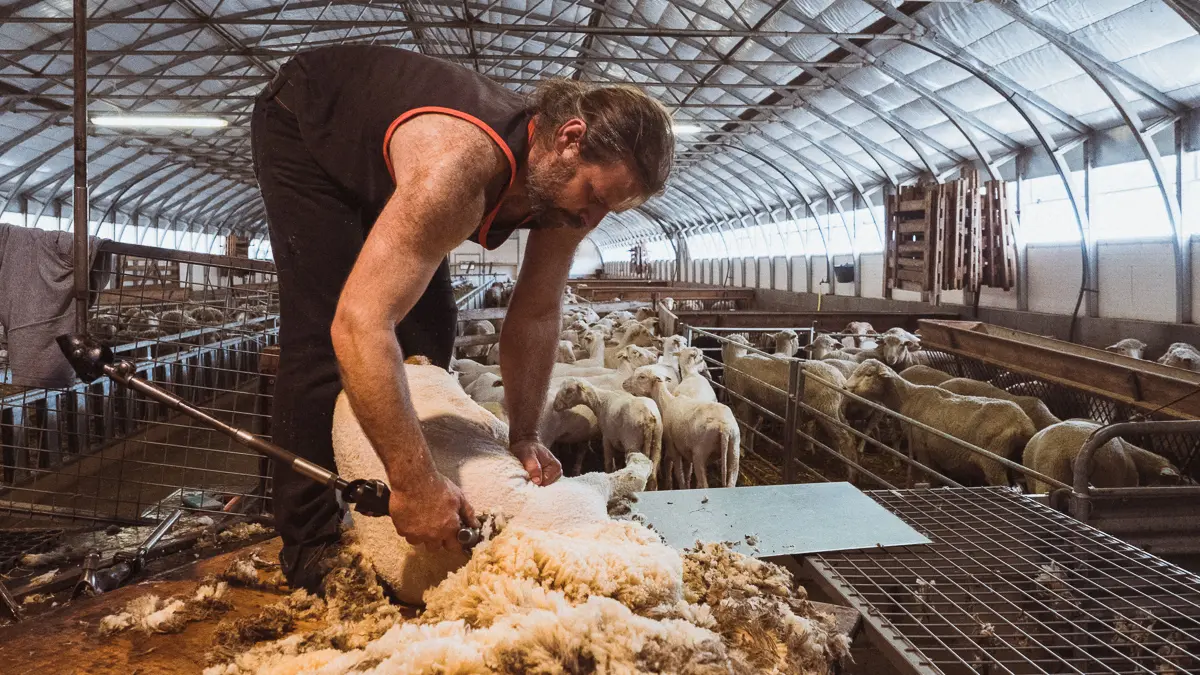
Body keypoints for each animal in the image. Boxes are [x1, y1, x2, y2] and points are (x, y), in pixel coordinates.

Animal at [849, 360, 1036, 485]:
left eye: (868, 374)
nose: (846, 387)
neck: (908, 397)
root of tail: (1023, 423)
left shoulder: (921, 447)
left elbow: (929, 475)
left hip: (993, 462)